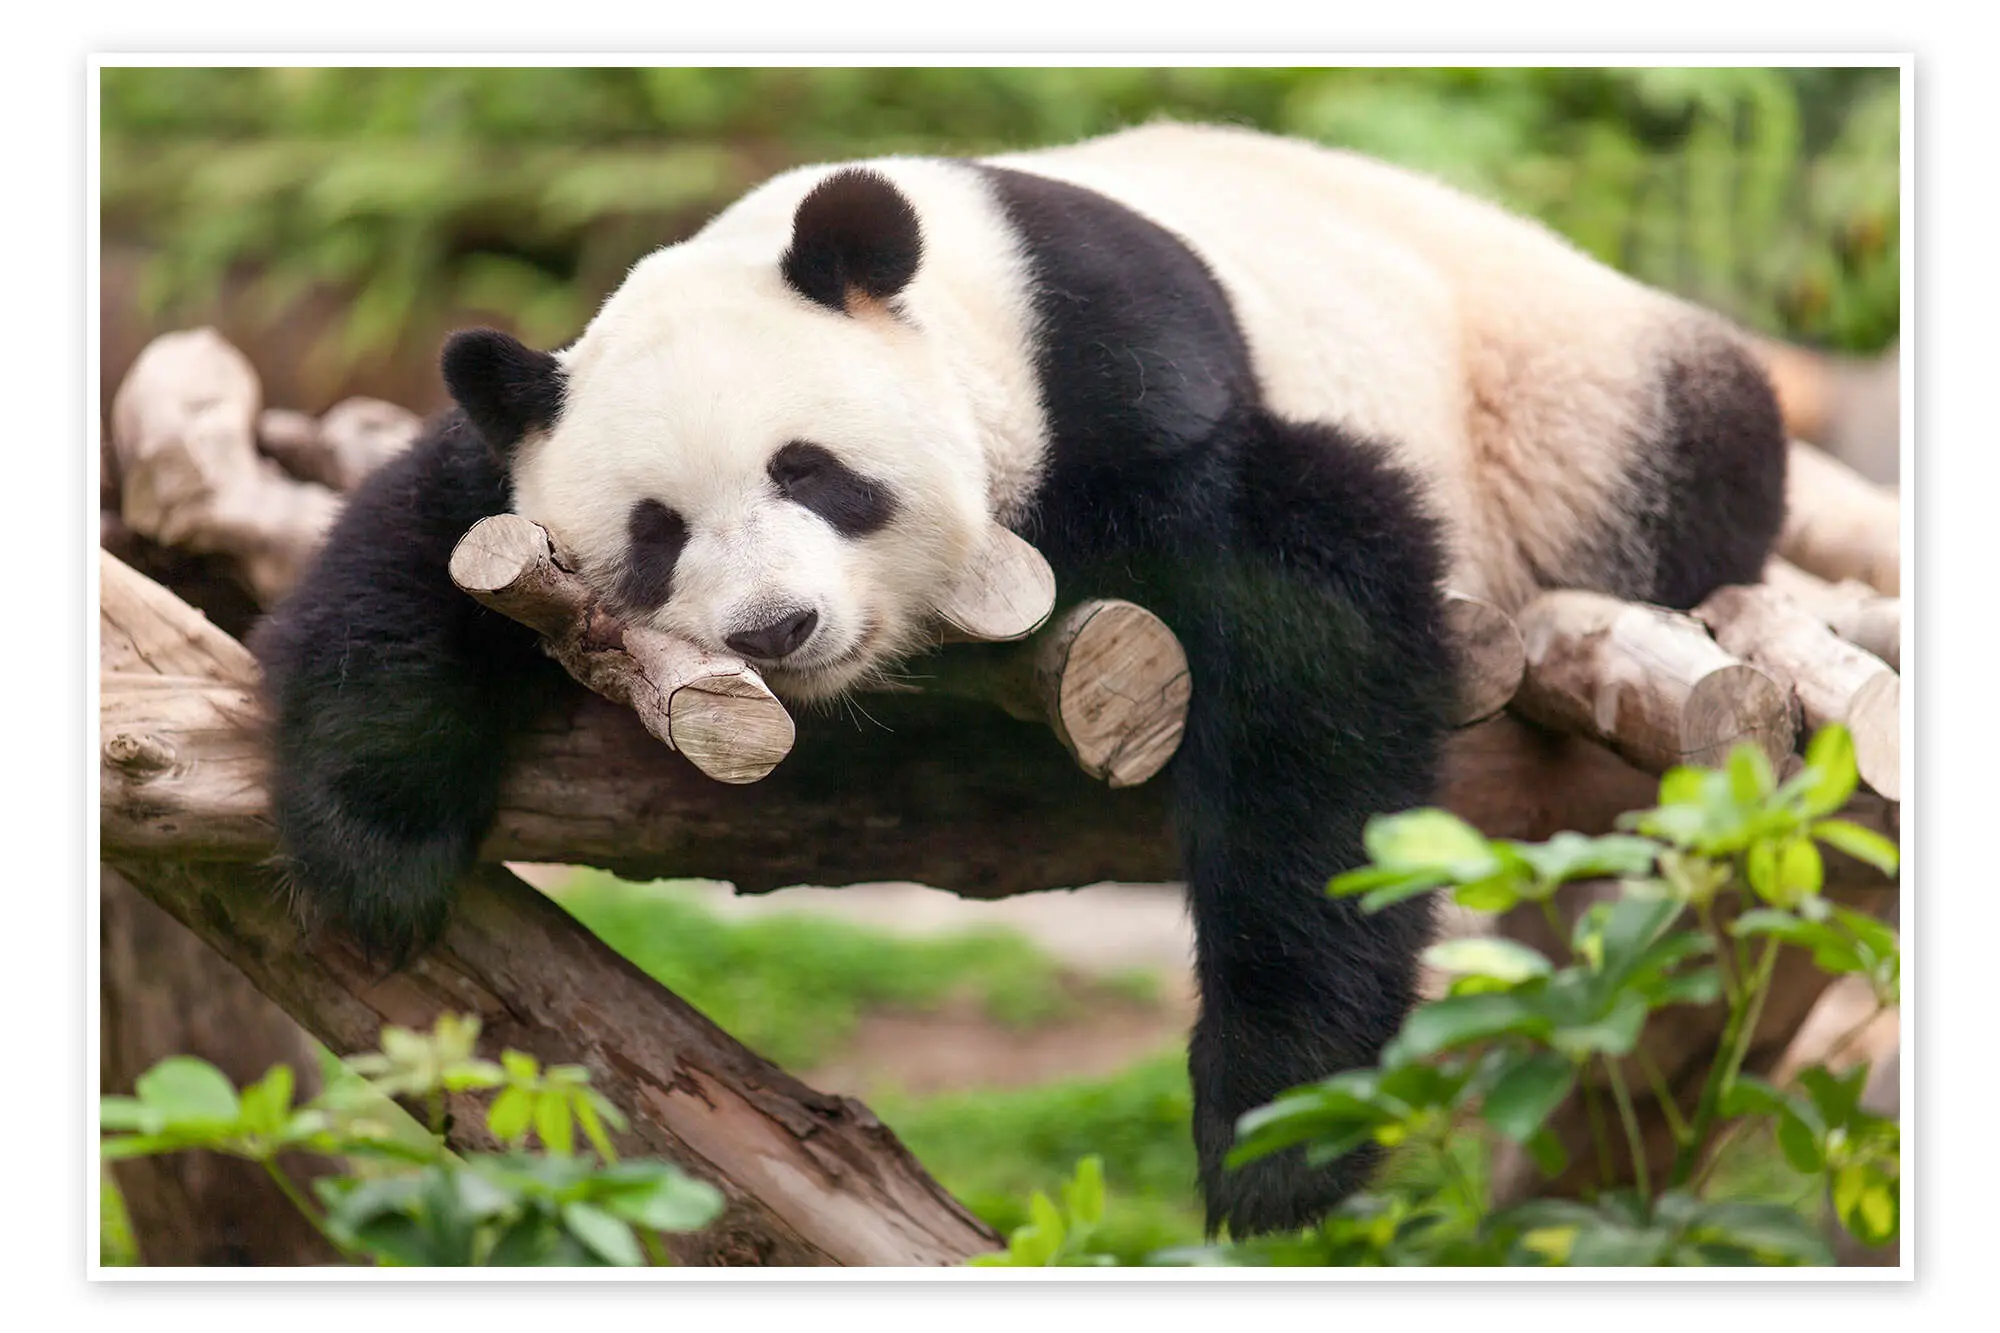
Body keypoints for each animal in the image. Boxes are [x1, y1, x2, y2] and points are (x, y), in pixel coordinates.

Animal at [251, 121, 1788, 1239]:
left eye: (812, 471)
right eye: (654, 533)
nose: (778, 628)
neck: (970, 297)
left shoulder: (1130, 389)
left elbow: (1315, 644)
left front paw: (1272, 1135)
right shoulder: (522, 434)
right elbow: (420, 538)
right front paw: (376, 850)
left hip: (1569, 402)